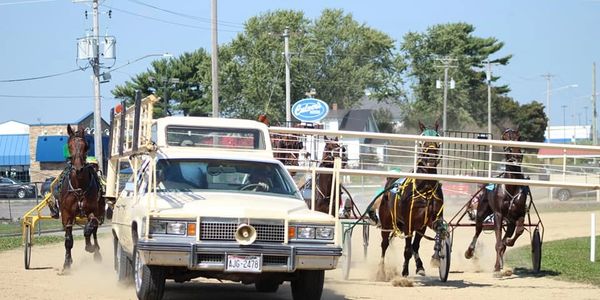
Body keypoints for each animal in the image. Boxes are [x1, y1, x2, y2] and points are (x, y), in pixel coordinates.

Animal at [57, 124, 104, 270]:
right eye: (69, 145)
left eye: (86, 146)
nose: (78, 168)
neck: (79, 188)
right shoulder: (67, 214)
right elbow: (68, 240)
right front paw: (66, 263)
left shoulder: (93, 211)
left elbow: (89, 228)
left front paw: (90, 247)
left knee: (94, 230)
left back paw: (96, 251)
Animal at [376, 120, 446, 280]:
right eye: (422, 139)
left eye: (437, 138)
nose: (431, 158)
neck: (425, 188)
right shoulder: (409, 223)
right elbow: (407, 249)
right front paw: (404, 272)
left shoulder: (425, 223)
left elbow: (430, 236)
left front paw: (435, 258)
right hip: (387, 222)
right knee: (384, 244)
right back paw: (381, 272)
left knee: (413, 246)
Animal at [464, 127, 528, 276]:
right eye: (505, 138)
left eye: (518, 137)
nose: (516, 155)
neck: (511, 186)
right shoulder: (498, 214)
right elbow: (498, 243)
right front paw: (497, 267)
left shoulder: (520, 212)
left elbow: (519, 231)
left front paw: (508, 242)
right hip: (481, 211)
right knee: (478, 229)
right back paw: (470, 251)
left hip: (509, 221)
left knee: (509, 232)